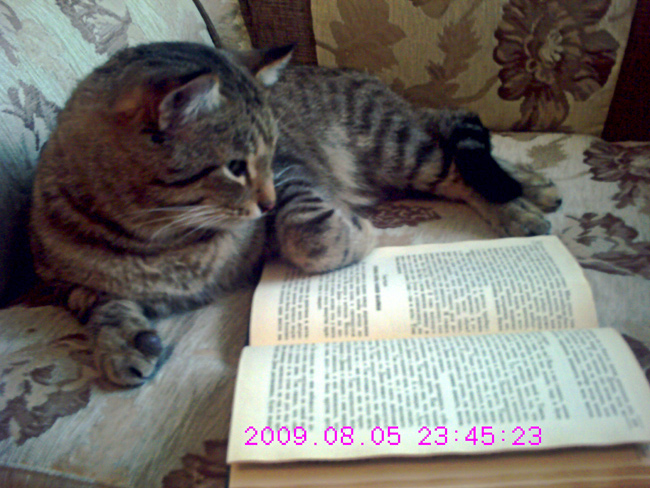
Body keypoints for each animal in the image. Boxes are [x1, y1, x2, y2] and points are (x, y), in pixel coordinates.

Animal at [30, 42, 561, 387]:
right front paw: (121, 344)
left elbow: (312, 237)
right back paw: (534, 185)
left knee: (455, 144)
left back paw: (518, 207)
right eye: (236, 166)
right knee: (450, 136)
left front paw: (355, 233)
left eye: (271, 151)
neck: (168, 240)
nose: (263, 203)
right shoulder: (61, 282)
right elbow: (100, 305)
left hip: (395, 149)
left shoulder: (291, 176)